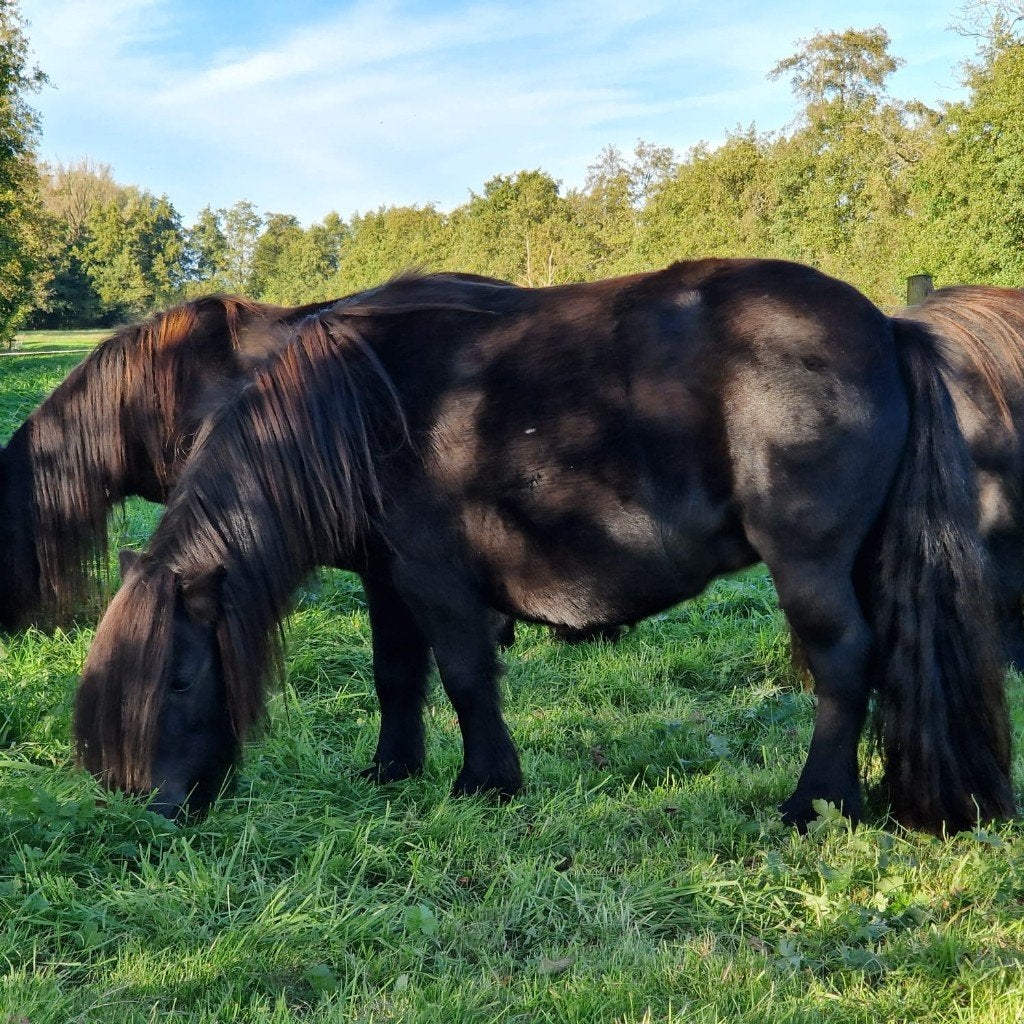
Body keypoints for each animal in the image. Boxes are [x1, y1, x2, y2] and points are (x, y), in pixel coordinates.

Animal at [72, 259, 1015, 835]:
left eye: (180, 677)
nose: (158, 809)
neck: (355, 410)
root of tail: (888, 326)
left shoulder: (436, 580)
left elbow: (463, 677)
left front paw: (486, 782)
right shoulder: (388, 580)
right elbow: (396, 677)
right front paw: (393, 771)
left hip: (810, 564)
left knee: (845, 660)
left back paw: (817, 802)